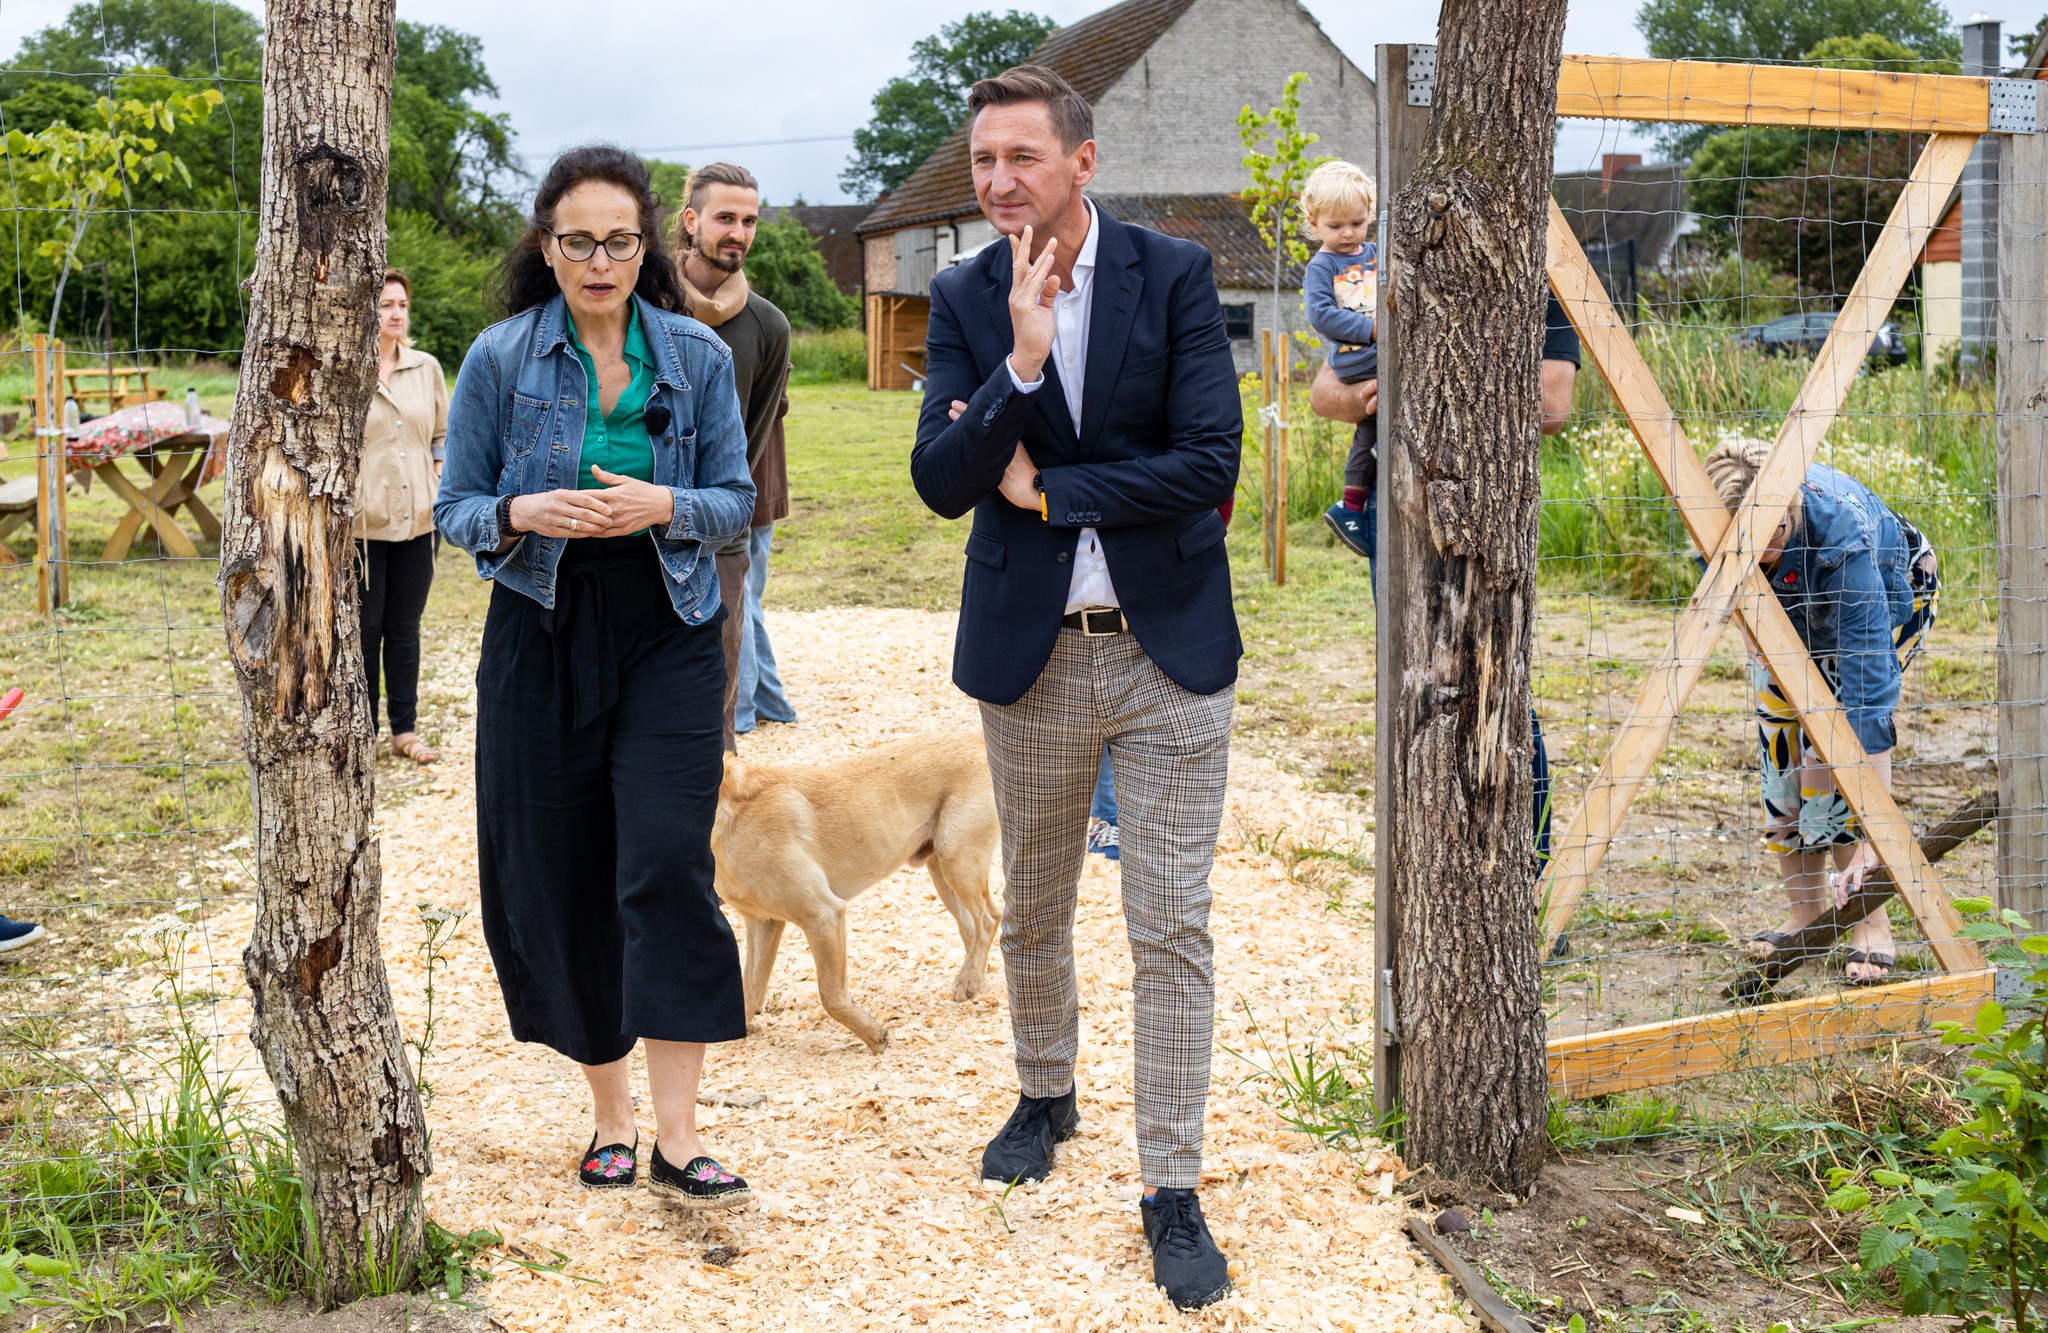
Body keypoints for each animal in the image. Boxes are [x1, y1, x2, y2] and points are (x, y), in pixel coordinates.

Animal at [710, 733, 1001, 1053]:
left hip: (958, 862)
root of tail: (974, 739)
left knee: (989, 918)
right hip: (943, 872)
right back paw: (973, 979)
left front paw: (874, 1037)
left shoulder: (823, 916)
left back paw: (969, 980)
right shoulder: (765, 923)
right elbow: (750, 987)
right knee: (971, 928)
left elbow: (831, 997)